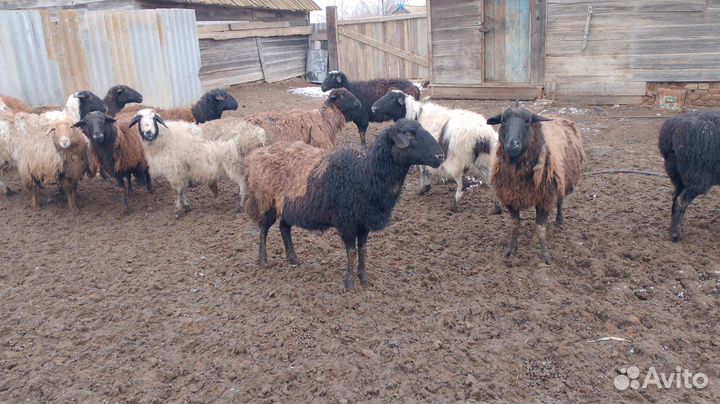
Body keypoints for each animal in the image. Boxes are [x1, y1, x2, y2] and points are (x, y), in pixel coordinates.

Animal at [129, 109, 266, 217]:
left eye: (154, 119)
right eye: (139, 121)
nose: (149, 133)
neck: (166, 137)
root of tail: (258, 133)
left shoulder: (175, 170)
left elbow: (177, 191)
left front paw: (178, 210)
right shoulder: (182, 170)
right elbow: (183, 189)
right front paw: (186, 206)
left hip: (235, 164)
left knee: (243, 185)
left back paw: (239, 207)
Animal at [242, 118, 445, 290]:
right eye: (409, 134)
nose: (440, 155)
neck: (366, 171)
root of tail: (257, 155)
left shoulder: (363, 222)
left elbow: (363, 249)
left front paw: (364, 278)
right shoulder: (347, 221)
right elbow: (352, 251)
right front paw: (350, 283)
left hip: (289, 206)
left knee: (284, 228)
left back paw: (293, 259)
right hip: (267, 202)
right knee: (264, 229)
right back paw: (263, 261)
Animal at [371, 89, 501, 212]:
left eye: (392, 98)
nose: (373, 107)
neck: (415, 115)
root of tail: (483, 135)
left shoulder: (424, 153)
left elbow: (423, 170)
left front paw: (424, 188)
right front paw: (425, 188)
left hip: (458, 161)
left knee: (463, 184)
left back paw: (454, 205)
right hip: (483, 161)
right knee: (491, 182)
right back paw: (497, 208)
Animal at [487, 107, 586, 265]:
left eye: (528, 121)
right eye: (502, 121)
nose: (512, 145)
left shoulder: (546, 199)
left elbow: (540, 229)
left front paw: (545, 257)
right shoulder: (511, 198)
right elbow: (515, 226)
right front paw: (512, 251)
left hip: (562, 181)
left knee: (560, 201)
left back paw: (559, 220)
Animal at [658, 111, 720, 242]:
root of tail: (673, 128)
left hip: (677, 173)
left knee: (675, 196)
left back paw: (672, 229)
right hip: (698, 176)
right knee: (682, 200)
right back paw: (676, 235)